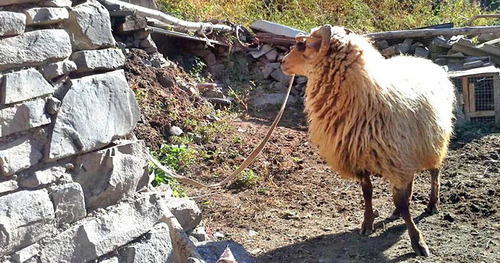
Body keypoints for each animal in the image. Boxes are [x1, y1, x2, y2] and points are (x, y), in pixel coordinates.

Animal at [282, 25, 458, 258]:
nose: (283, 62)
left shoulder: (396, 159)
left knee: (434, 172)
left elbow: (403, 204)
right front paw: (367, 223)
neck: (365, 98)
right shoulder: (360, 159)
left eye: (302, 45)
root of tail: (425, 61)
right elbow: (368, 193)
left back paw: (432, 203)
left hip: (433, 140)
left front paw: (417, 240)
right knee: (411, 179)